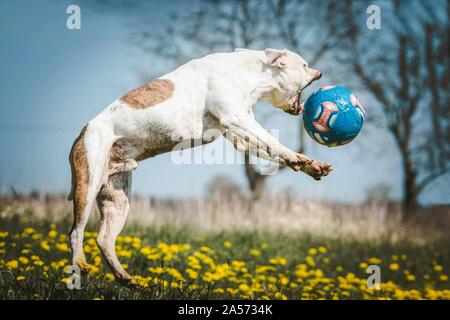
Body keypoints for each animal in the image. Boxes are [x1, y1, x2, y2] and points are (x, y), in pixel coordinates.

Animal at [68, 48, 332, 284]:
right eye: (305, 65)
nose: (320, 72)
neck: (253, 72)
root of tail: (83, 131)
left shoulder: (239, 135)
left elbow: (270, 149)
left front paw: (311, 166)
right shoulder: (237, 119)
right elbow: (273, 141)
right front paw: (297, 157)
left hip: (117, 199)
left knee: (104, 239)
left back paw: (123, 277)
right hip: (88, 184)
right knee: (75, 231)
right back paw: (80, 263)